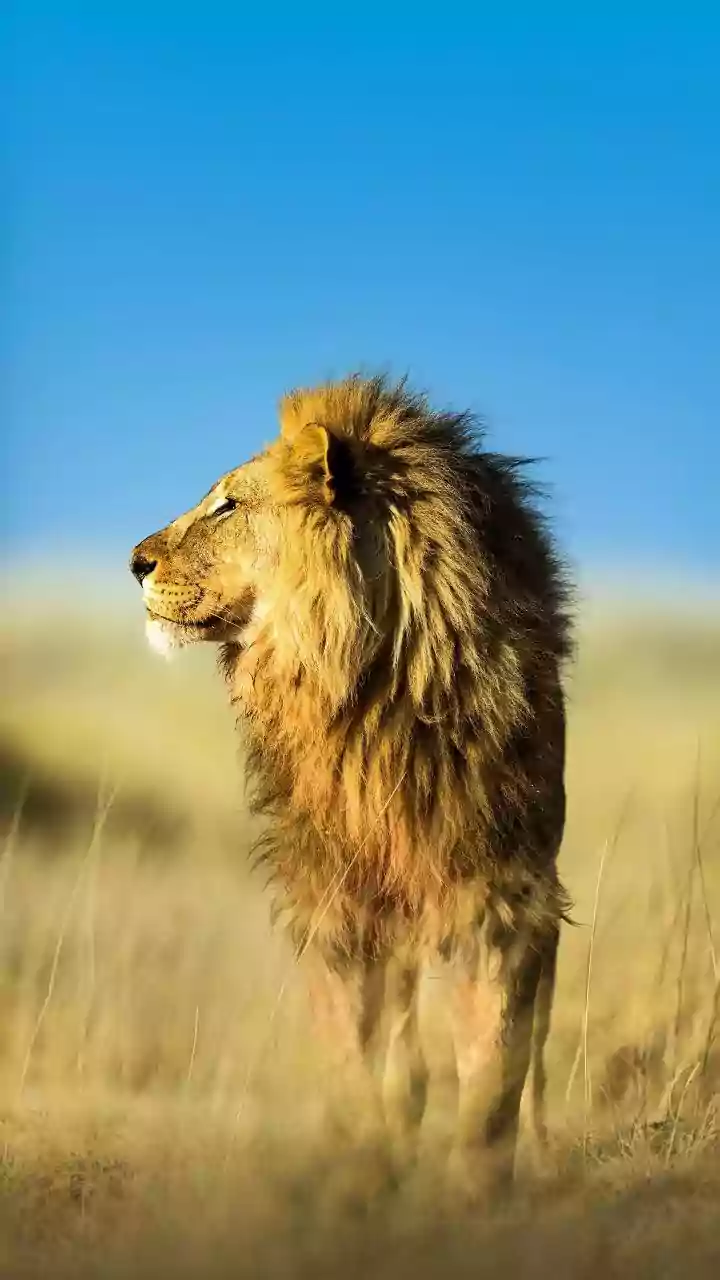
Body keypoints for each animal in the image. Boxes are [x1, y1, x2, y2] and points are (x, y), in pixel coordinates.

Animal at [130, 374, 573, 1200]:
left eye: (228, 506)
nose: (134, 563)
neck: (364, 687)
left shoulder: (502, 890)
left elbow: (496, 1057)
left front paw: (476, 1191)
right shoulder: (332, 894)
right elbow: (357, 1053)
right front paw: (364, 1169)